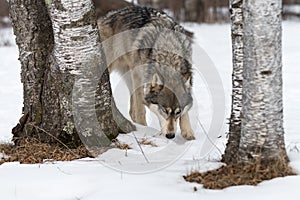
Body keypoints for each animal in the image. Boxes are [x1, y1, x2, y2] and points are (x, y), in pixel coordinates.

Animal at [98, 6, 196, 141]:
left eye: (177, 112)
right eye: (164, 110)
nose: (170, 136)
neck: (169, 54)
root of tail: (108, 16)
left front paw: (188, 132)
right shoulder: (138, 76)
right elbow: (141, 109)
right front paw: (144, 128)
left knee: (131, 111)